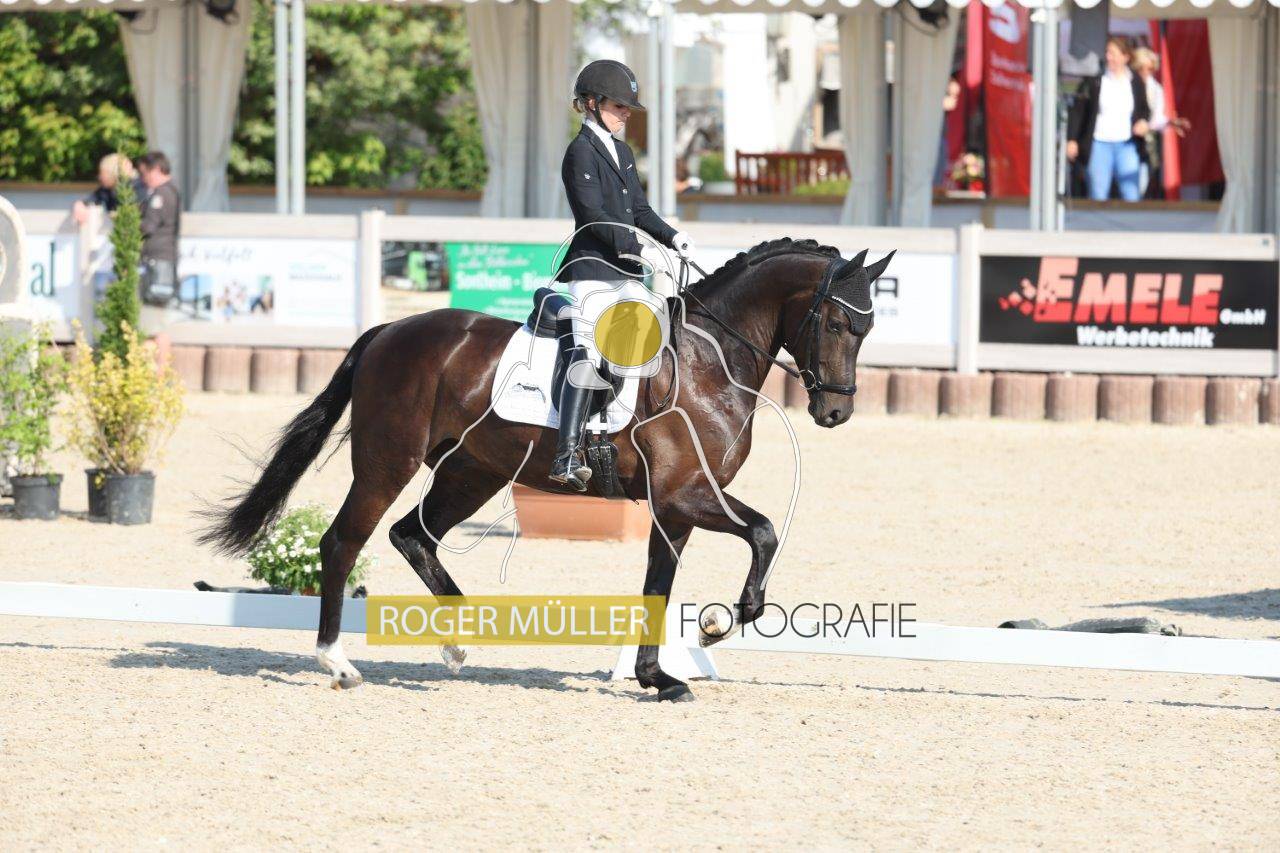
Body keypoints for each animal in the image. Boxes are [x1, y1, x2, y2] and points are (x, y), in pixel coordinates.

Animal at [198, 237, 892, 702]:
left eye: (867, 327)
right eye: (836, 322)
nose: (835, 410)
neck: (708, 361)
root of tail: (389, 330)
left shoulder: (673, 506)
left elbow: (658, 584)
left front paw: (659, 677)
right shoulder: (685, 495)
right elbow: (765, 532)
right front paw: (722, 623)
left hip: (470, 472)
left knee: (412, 535)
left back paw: (459, 642)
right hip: (386, 464)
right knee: (344, 541)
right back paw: (339, 663)